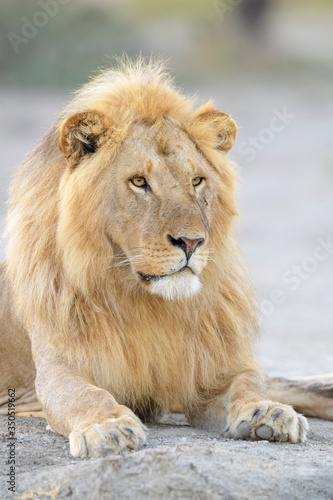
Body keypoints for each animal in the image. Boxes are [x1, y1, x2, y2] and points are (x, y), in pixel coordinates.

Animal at [0, 58, 330, 458]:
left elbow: (248, 382)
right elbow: (84, 395)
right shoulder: (57, 369)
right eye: (139, 182)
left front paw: (268, 412)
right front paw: (108, 427)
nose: (191, 242)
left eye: (197, 181)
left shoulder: (210, 370)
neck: (150, 303)